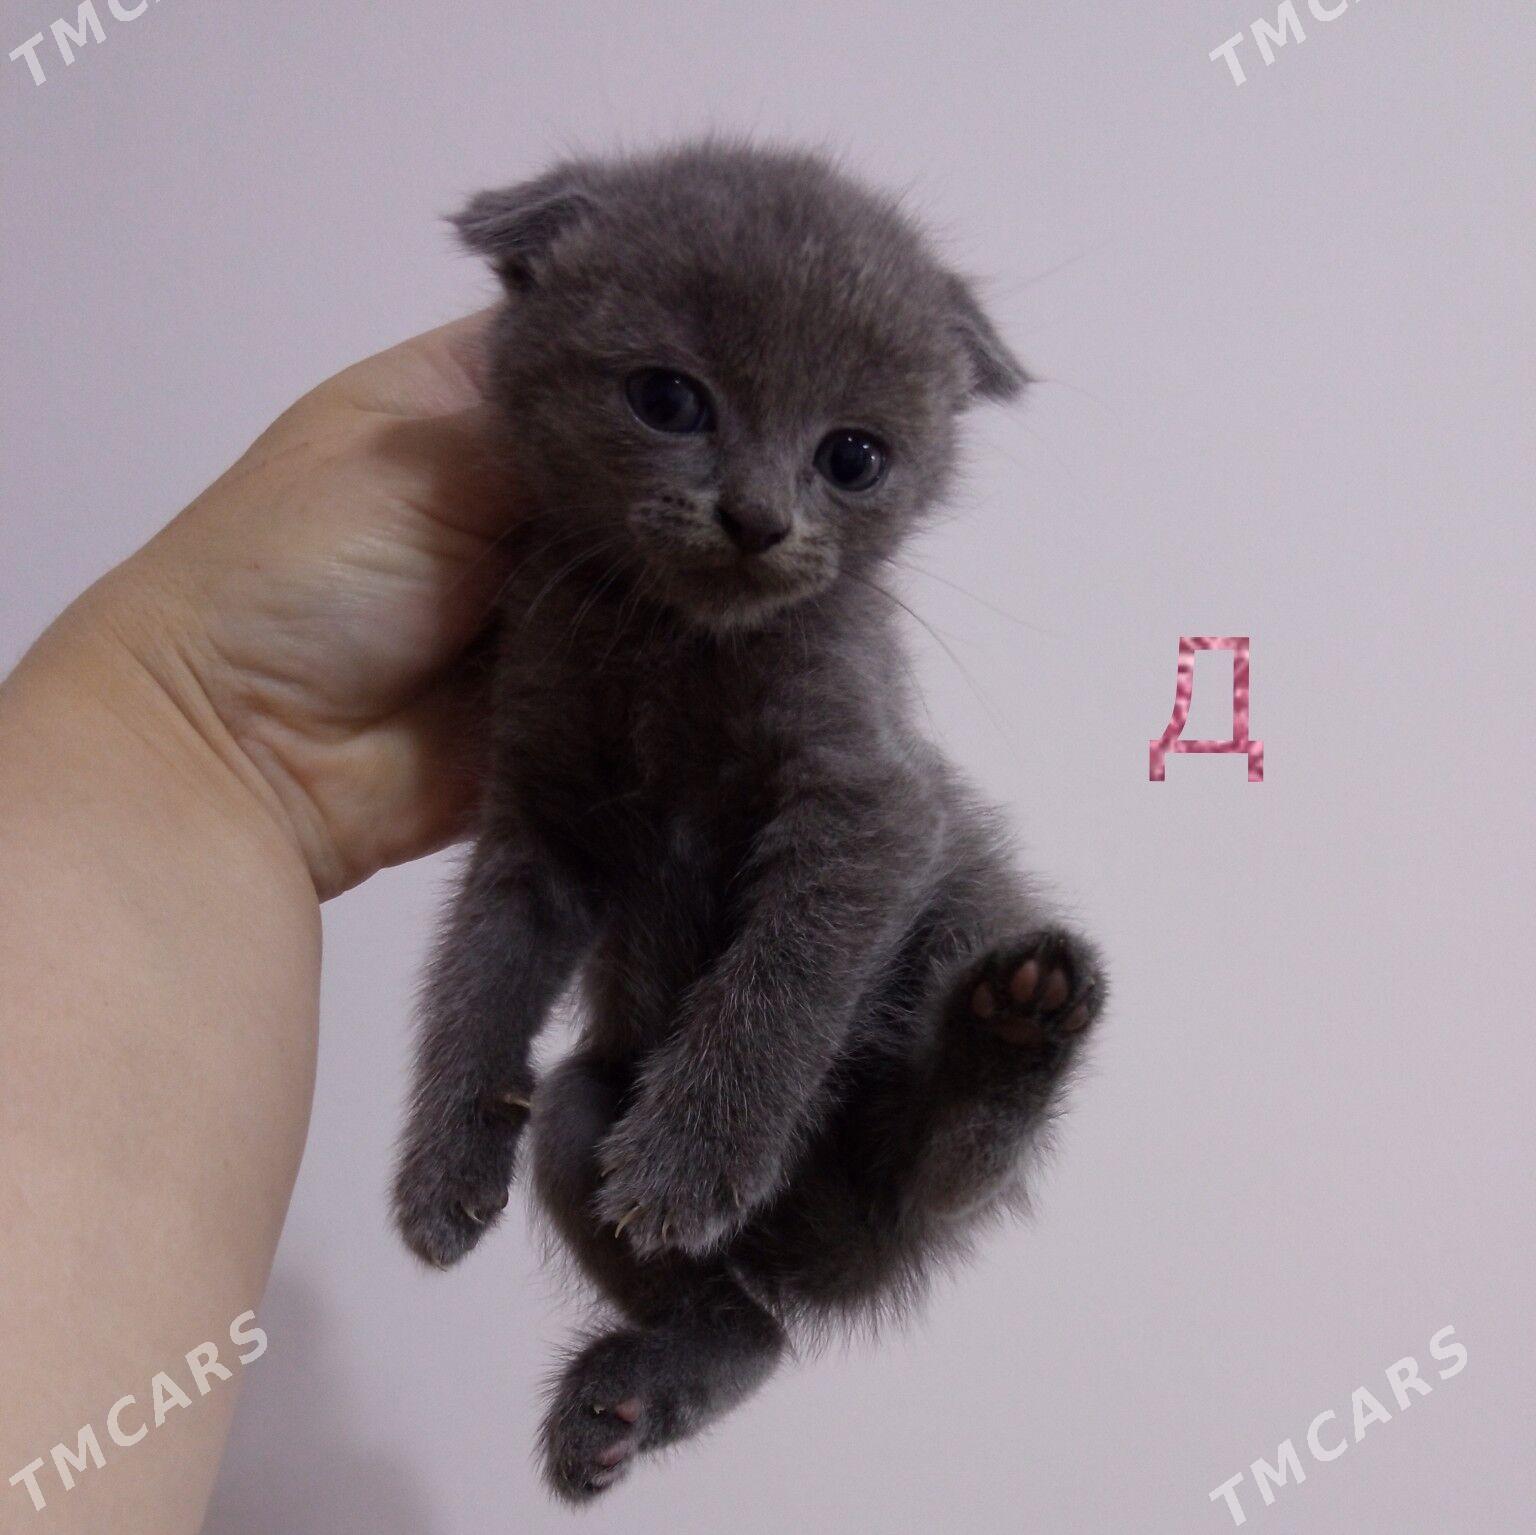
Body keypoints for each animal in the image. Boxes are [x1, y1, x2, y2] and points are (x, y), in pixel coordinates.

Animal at [392, 139, 1106, 1502]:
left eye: (855, 457)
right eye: (669, 399)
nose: (758, 517)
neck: (680, 647)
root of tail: (812, 1247)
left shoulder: (873, 797)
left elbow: (786, 967)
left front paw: (693, 1154)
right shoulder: (537, 811)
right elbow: (480, 974)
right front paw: (443, 1164)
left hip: (956, 935)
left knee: (945, 1168)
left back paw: (1016, 1029)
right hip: (587, 1114)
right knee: (744, 1314)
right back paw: (632, 1393)